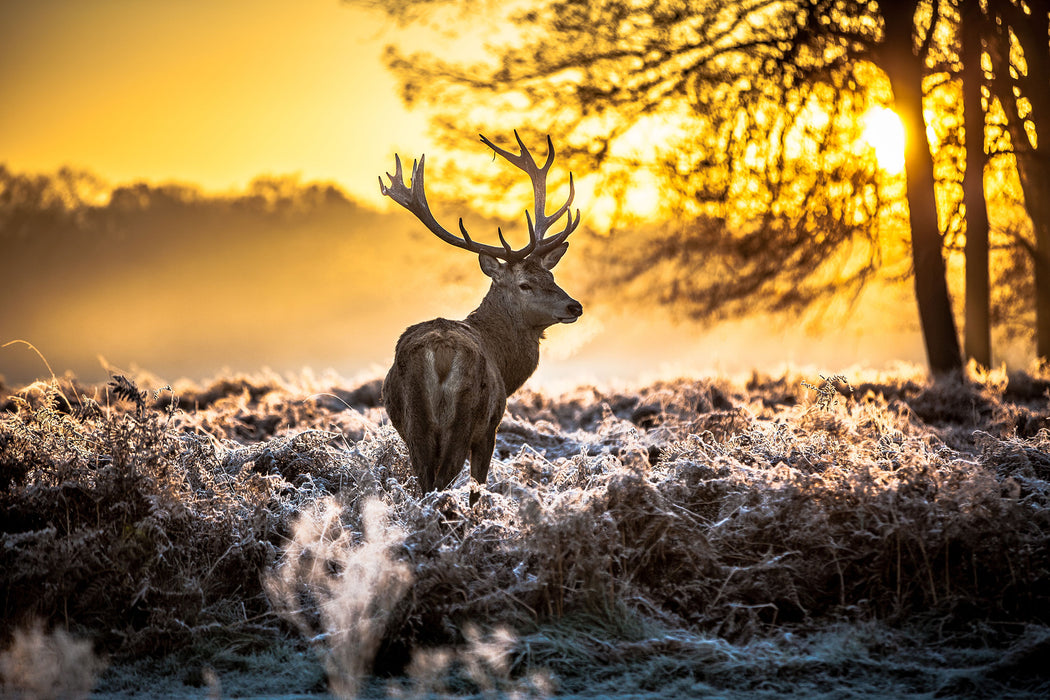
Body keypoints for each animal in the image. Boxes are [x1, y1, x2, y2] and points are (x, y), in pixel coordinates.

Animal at [382, 131, 588, 503]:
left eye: (551, 276)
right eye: (525, 284)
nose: (574, 306)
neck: (505, 364)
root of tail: (440, 354)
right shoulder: (491, 425)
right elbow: (479, 482)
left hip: (414, 421)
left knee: (424, 482)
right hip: (465, 418)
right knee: (443, 480)